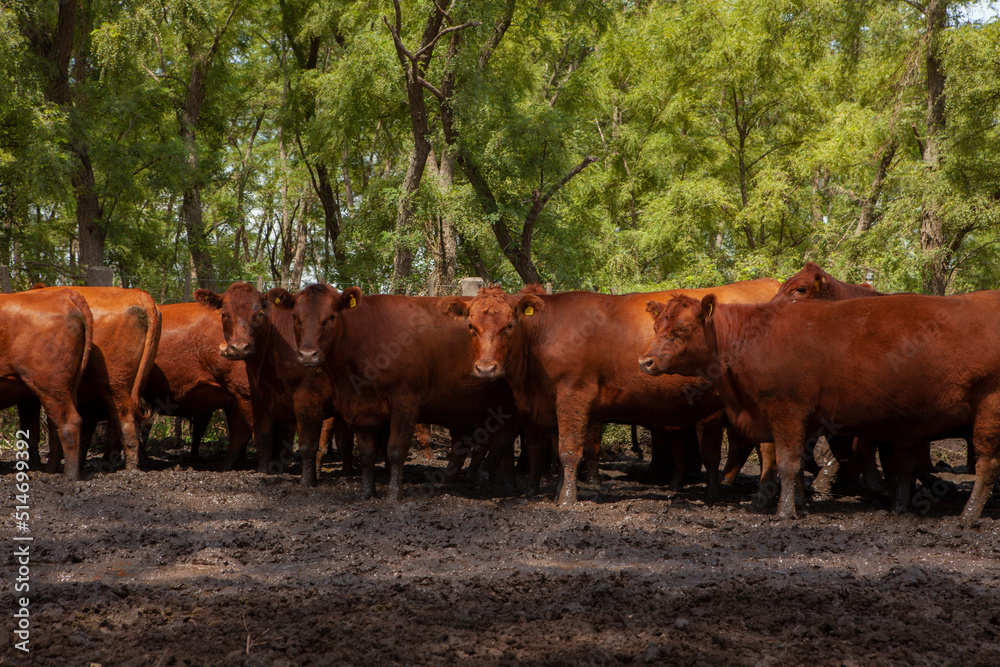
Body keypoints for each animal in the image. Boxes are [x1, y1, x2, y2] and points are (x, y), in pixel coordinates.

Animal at [1, 290, 92, 479]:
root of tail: (65, 293)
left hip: (50, 385)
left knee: (69, 423)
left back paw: (70, 476)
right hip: (64, 388)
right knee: (54, 426)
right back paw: (49, 470)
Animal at [288, 284, 521, 500]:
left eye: (331, 317)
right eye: (295, 317)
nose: (308, 355)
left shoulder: (404, 402)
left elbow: (395, 450)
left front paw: (393, 494)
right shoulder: (362, 409)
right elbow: (366, 456)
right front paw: (367, 492)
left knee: (498, 440)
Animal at [441, 279, 781, 505]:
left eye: (510, 325)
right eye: (471, 326)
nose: (486, 368)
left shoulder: (574, 394)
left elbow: (568, 451)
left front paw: (566, 500)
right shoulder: (539, 407)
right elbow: (541, 451)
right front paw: (539, 492)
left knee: (766, 448)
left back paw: (761, 496)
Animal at [639, 292, 1000, 522]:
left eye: (682, 328)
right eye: (656, 327)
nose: (645, 361)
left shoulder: (787, 410)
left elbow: (786, 464)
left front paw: (785, 513)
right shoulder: (805, 419)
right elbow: (798, 464)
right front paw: (801, 505)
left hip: (988, 411)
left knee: (987, 464)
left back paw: (967, 516)